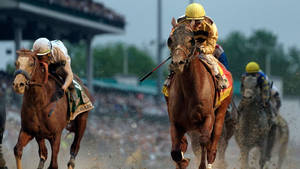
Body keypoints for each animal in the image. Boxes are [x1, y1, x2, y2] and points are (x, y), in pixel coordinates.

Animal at [165, 19, 233, 169]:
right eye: (170, 40)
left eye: (191, 40)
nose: (177, 63)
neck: (189, 91)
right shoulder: (176, 122)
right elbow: (176, 152)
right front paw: (183, 160)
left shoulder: (208, 117)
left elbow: (204, 141)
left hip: (221, 113)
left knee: (212, 148)